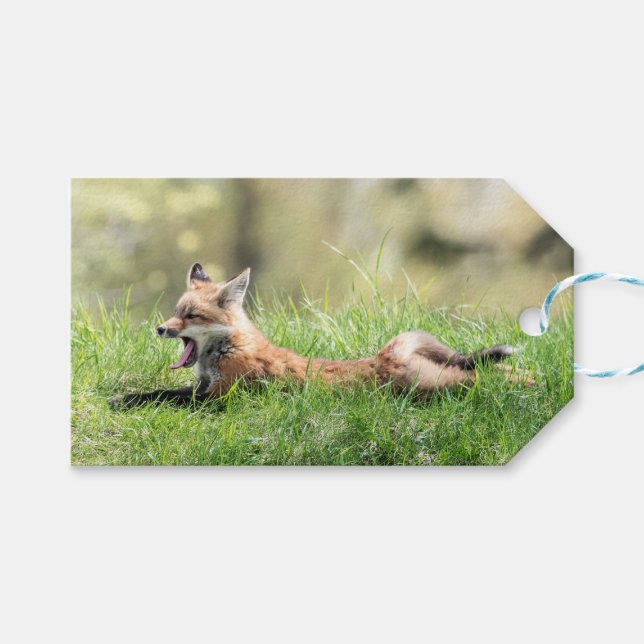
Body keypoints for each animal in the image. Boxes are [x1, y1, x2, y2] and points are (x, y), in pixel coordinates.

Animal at [110, 263, 534, 408]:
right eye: (175, 312)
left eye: (190, 316)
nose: (160, 328)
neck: (227, 350)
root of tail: (385, 356)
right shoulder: (201, 389)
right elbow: (157, 392)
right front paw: (126, 397)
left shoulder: (219, 398)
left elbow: (165, 398)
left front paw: (125, 401)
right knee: (483, 370)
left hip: (434, 386)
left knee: (480, 376)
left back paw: (529, 382)